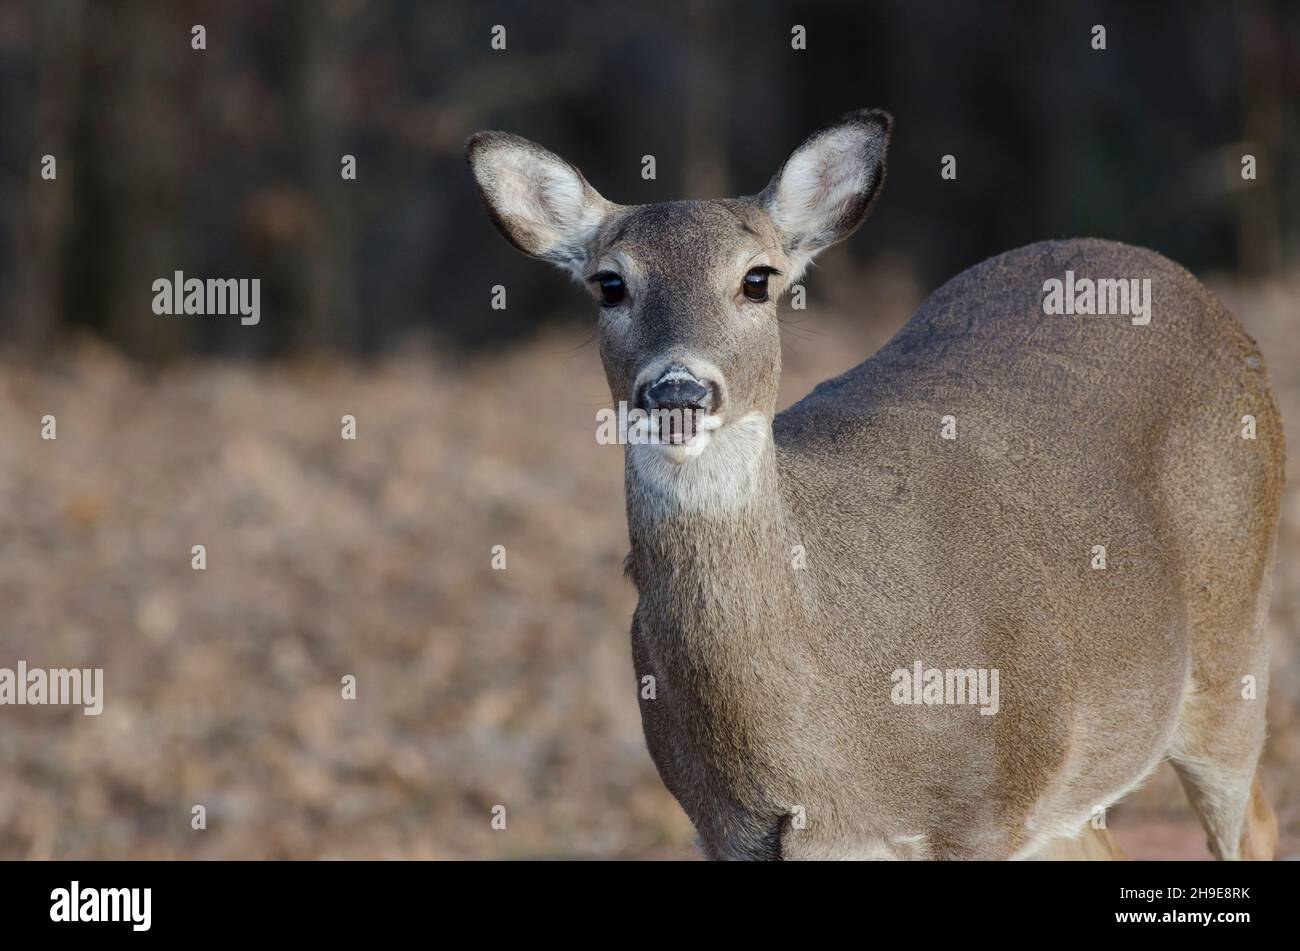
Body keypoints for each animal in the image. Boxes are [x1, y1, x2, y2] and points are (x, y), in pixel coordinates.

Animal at [466, 109, 1283, 860]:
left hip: (1230, 643)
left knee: (1256, 820)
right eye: (610, 284)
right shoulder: (724, 828)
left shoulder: (984, 804)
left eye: (758, 278)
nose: (677, 392)